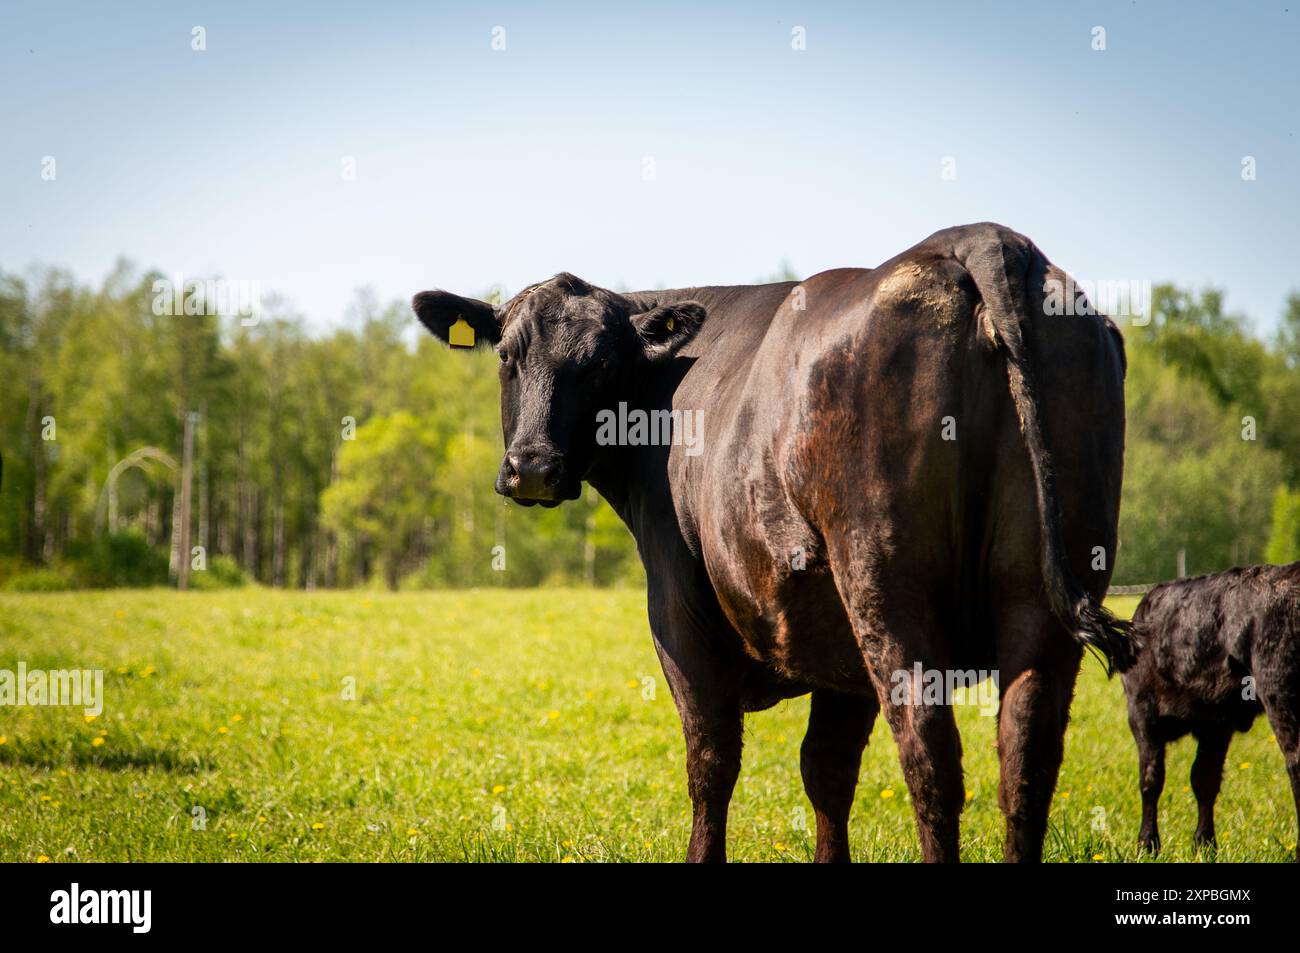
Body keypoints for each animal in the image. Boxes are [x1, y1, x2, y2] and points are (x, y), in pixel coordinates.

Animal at [413, 222, 1134, 862]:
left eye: (599, 364)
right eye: (507, 356)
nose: (532, 466)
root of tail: (977, 236)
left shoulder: (678, 611)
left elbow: (711, 760)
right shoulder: (838, 652)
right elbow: (827, 770)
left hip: (886, 588)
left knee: (930, 757)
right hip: (1037, 600)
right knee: (1026, 760)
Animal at [1123, 563, 1300, 859]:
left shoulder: (1142, 711)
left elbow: (1153, 780)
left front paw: (1148, 844)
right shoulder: (1214, 724)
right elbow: (1201, 780)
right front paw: (1203, 845)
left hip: (1281, 699)